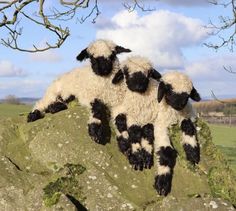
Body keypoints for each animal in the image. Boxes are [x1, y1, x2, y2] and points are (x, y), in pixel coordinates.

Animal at [111, 56, 200, 196]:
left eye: (188, 94)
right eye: (169, 90)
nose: (179, 104)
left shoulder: (185, 115)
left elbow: (188, 128)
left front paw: (192, 153)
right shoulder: (156, 124)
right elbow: (165, 151)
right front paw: (162, 184)